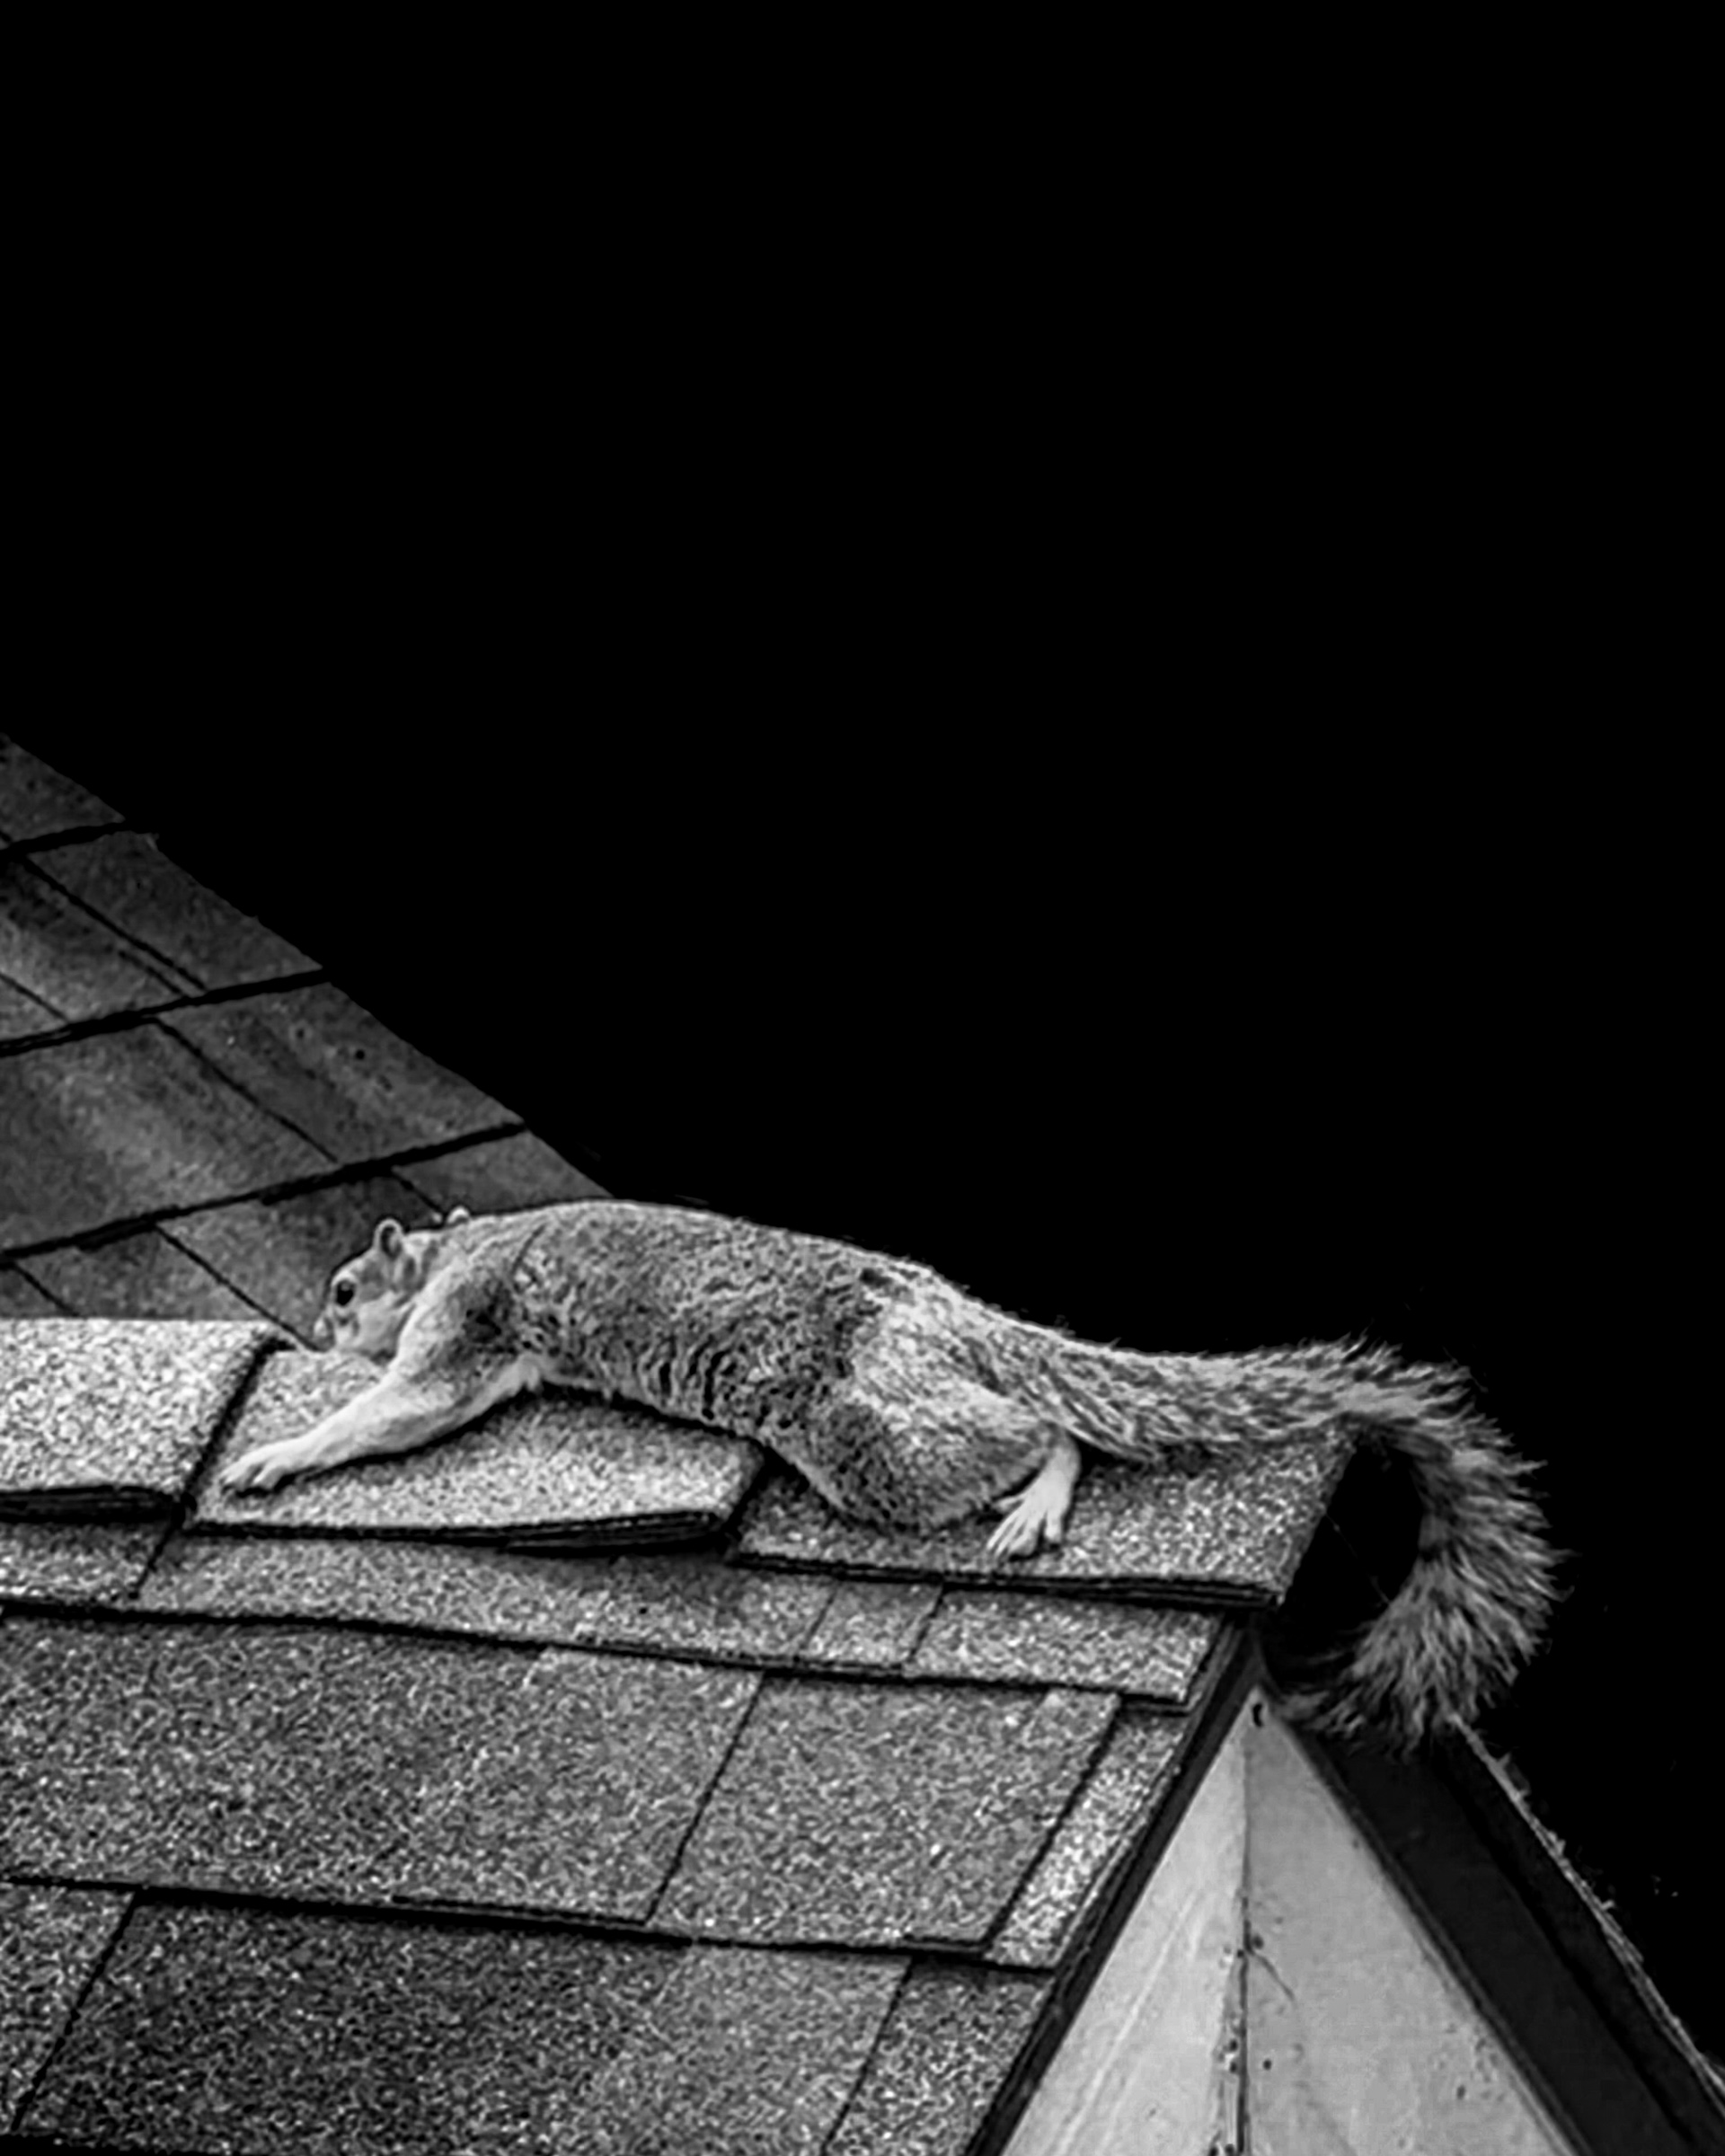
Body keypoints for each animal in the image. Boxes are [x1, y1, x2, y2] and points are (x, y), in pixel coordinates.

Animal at [220, 1199, 1560, 1748]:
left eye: (346, 1288)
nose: (320, 1328)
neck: (470, 1243)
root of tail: (950, 1316)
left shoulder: (470, 1315)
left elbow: (405, 1408)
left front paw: (277, 1454)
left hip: (868, 1433)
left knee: (1040, 1430)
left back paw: (1041, 1491)